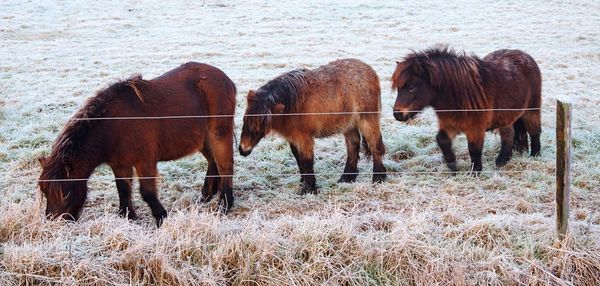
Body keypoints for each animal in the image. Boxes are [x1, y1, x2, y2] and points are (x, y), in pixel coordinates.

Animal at [37, 62, 237, 226]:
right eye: (45, 191)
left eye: (65, 193)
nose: (55, 222)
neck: (113, 126)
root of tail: (226, 79)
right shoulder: (119, 164)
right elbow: (123, 189)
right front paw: (126, 216)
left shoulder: (144, 162)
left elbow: (146, 192)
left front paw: (161, 217)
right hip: (203, 139)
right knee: (213, 161)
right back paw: (207, 194)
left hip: (218, 134)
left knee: (225, 164)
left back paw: (225, 205)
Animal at [238, 58, 384, 194]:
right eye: (245, 119)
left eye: (262, 126)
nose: (243, 150)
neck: (292, 106)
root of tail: (370, 71)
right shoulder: (293, 138)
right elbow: (298, 158)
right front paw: (303, 181)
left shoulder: (304, 138)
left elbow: (306, 161)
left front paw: (309, 189)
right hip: (349, 125)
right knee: (353, 146)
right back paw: (347, 178)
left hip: (367, 121)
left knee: (375, 145)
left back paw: (378, 178)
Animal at [392, 47, 540, 172]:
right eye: (398, 88)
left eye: (411, 87)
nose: (397, 114)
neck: (460, 94)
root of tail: (525, 56)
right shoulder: (450, 124)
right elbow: (441, 140)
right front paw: (452, 164)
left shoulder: (475, 128)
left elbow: (474, 149)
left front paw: (475, 172)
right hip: (505, 118)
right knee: (509, 136)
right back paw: (501, 161)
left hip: (531, 111)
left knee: (534, 132)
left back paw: (535, 156)